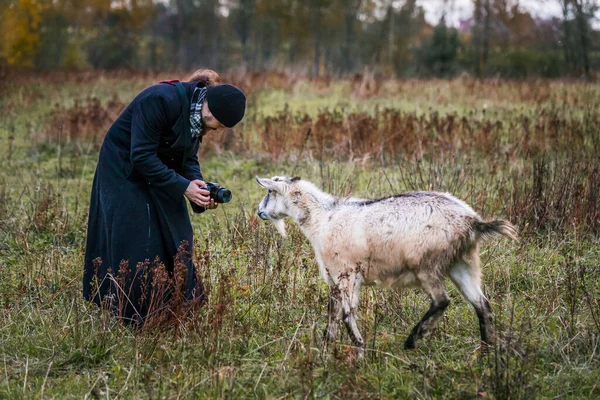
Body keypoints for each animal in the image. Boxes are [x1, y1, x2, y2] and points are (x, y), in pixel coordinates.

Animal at [255, 175, 516, 356]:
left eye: (269, 191)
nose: (259, 212)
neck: (322, 219)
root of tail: (473, 222)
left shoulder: (346, 273)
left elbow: (347, 314)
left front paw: (360, 351)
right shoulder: (336, 279)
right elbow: (332, 313)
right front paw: (325, 347)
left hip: (426, 264)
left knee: (442, 300)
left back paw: (413, 340)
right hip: (463, 263)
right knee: (482, 304)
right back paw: (485, 351)